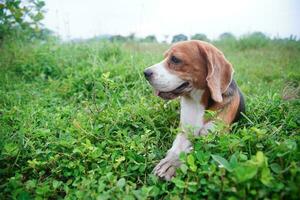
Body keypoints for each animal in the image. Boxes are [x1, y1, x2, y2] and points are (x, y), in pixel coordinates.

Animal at [144, 40, 245, 180]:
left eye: (175, 59)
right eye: (165, 57)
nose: (145, 73)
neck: (196, 102)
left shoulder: (213, 138)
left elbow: (193, 149)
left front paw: (173, 164)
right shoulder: (183, 130)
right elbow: (177, 148)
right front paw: (171, 159)